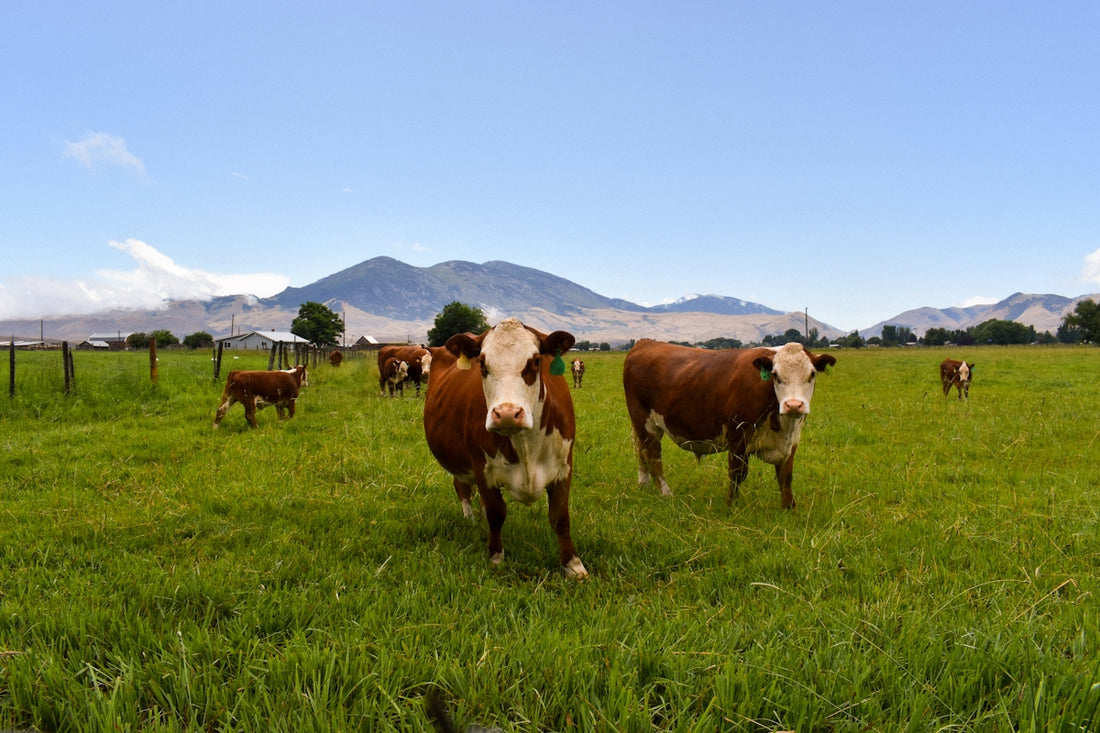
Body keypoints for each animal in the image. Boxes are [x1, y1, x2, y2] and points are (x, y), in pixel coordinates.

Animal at [423, 317, 586, 578]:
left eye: (536, 361)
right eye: (482, 363)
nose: (507, 414)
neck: (525, 445)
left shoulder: (564, 466)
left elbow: (560, 517)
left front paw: (573, 565)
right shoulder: (482, 467)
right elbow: (496, 513)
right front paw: (496, 557)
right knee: (462, 487)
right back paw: (470, 518)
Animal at [622, 340, 836, 509]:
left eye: (812, 374)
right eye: (776, 375)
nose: (793, 405)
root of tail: (645, 342)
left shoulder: (792, 441)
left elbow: (785, 476)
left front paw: (789, 508)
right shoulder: (738, 435)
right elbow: (737, 473)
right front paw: (730, 506)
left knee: (642, 453)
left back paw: (644, 485)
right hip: (645, 422)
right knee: (653, 455)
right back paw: (666, 494)